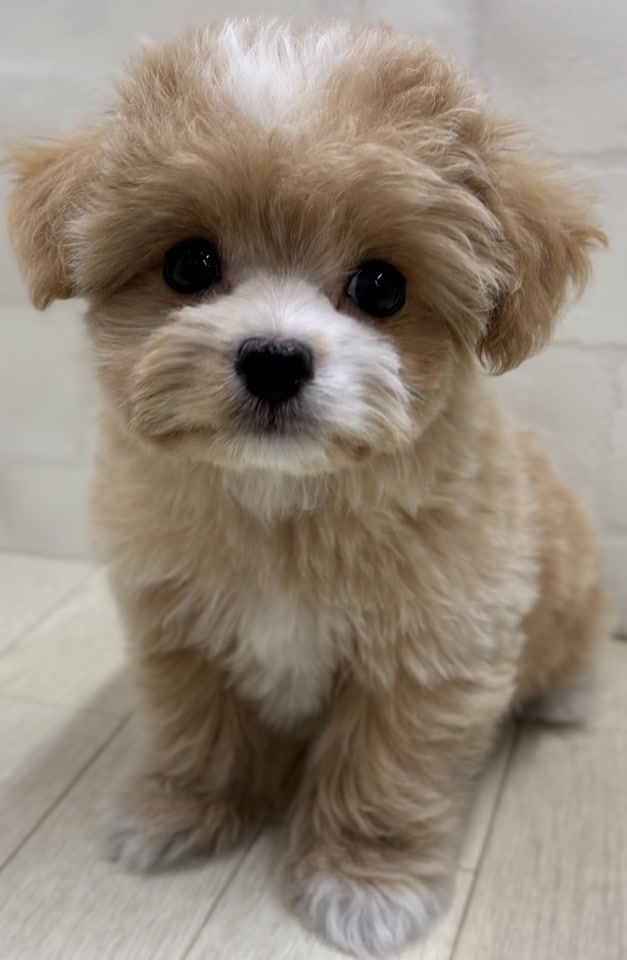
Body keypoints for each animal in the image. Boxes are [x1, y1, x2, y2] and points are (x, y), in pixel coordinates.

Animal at [6, 19, 611, 957]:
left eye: (382, 285)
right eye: (189, 264)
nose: (273, 357)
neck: (283, 499)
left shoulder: (432, 653)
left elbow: (385, 770)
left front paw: (362, 880)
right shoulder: (178, 624)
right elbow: (195, 726)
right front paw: (181, 811)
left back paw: (563, 696)